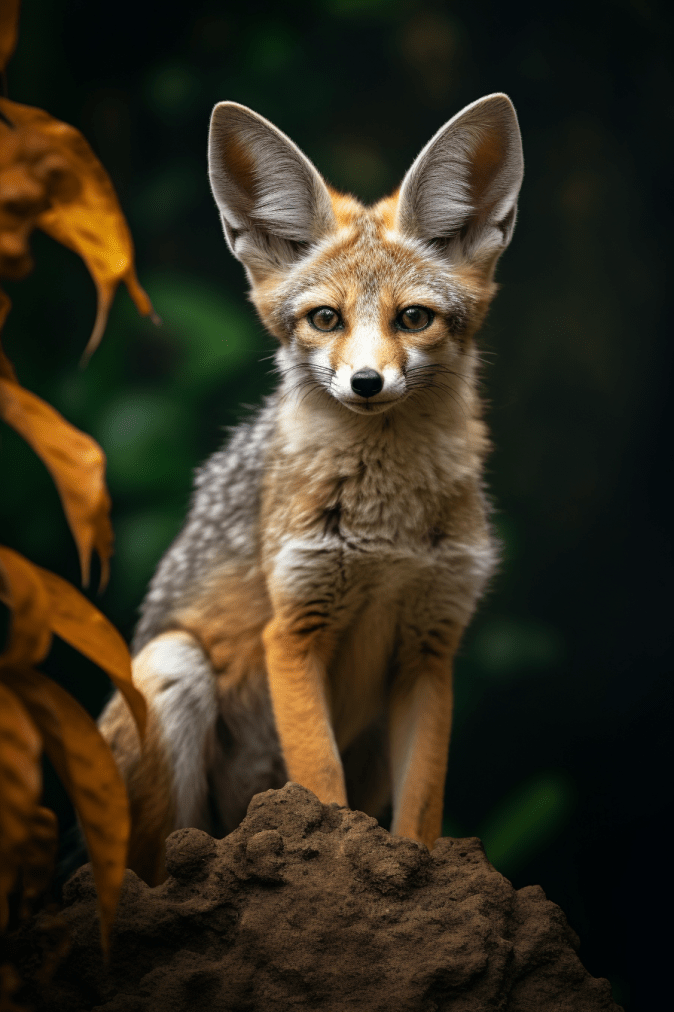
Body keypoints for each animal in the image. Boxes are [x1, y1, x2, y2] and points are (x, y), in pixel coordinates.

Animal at [99, 93, 524, 886]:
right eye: (326, 318)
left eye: (413, 318)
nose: (366, 382)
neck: (387, 529)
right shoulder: (295, 627)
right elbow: (321, 788)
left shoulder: (431, 645)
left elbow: (420, 811)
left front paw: (405, 870)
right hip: (173, 668)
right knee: (159, 856)